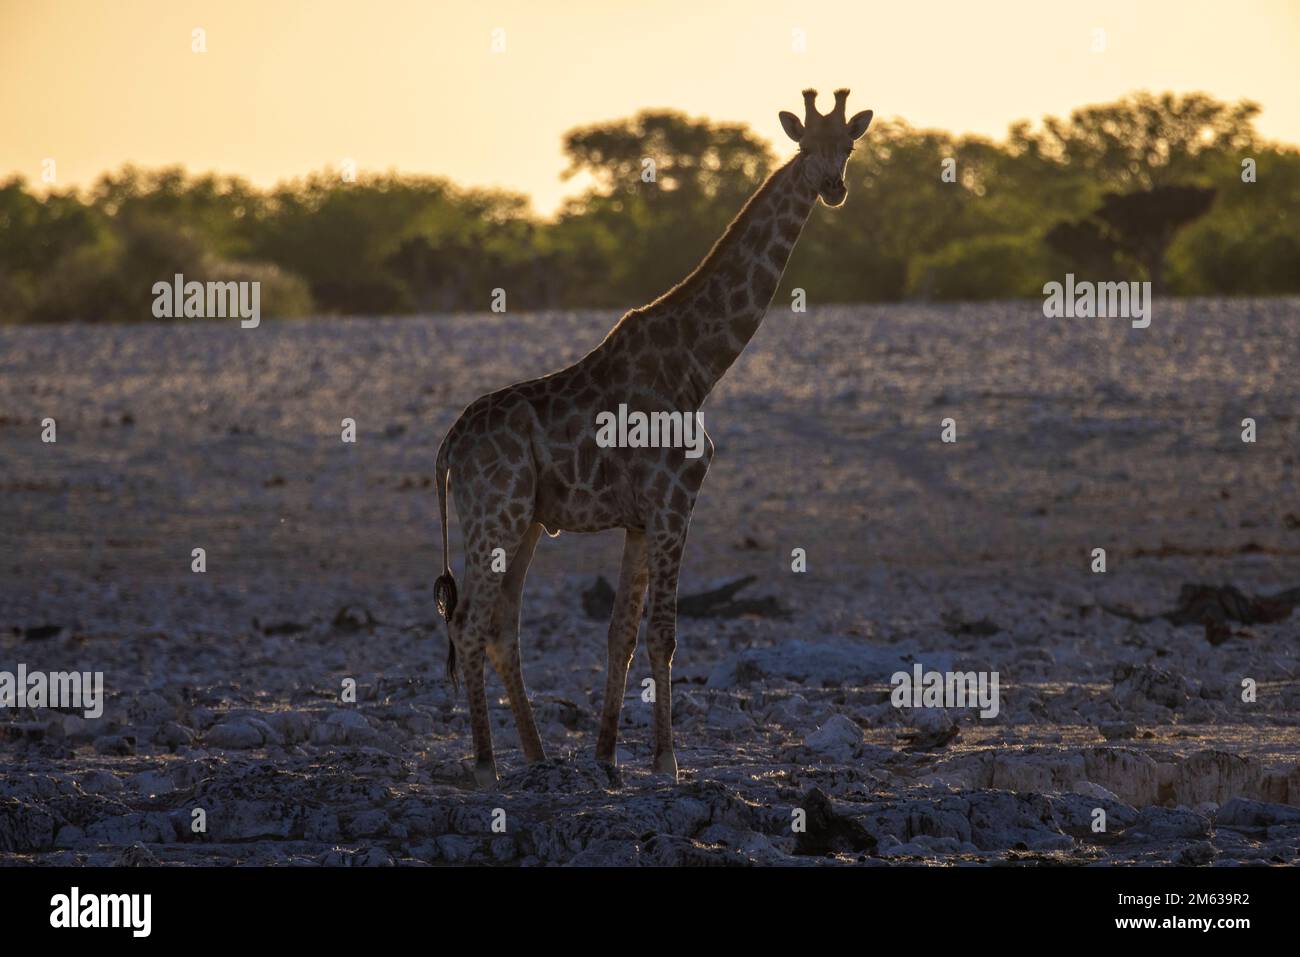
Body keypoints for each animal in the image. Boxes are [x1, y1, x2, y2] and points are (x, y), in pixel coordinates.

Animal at [434, 89, 873, 788]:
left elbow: (623, 632)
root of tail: (449, 444)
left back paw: (536, 755)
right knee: (470, 623)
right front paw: (668, 761)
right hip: (494, 515)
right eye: (806, 145)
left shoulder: (641, 518)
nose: (832, 187)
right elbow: (664, 633)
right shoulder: (674, 501)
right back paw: (485, 767)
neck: (699, 364)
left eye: (850, 145)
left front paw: (608, 759)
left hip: (523, 523)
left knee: (500, 626)